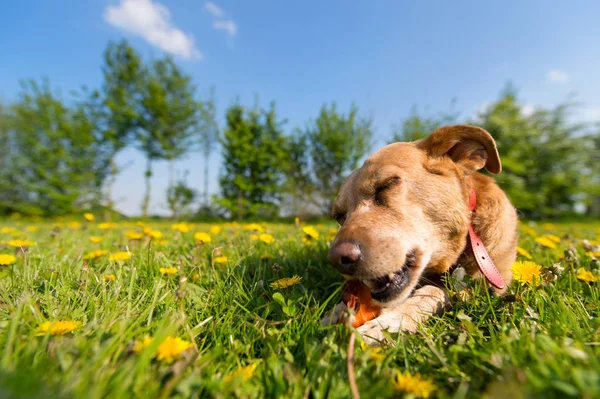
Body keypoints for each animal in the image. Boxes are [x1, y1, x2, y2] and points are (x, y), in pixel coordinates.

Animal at [324, 124, 516, 344]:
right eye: (340, 216)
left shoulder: (486, 287)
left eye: (387, 184)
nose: (337, 260)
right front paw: (337, 311)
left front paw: (388, 323)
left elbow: (434, 292)